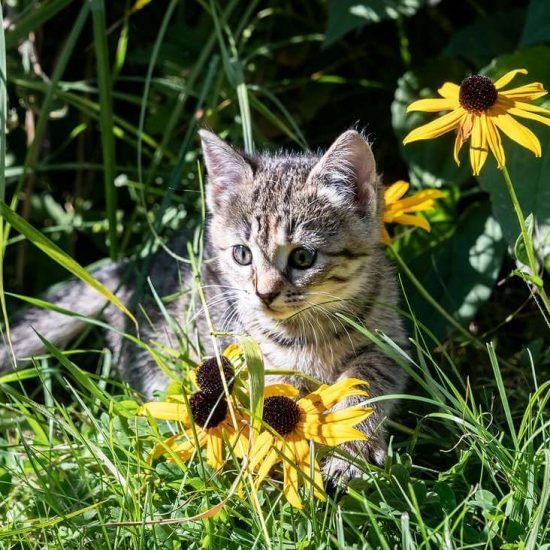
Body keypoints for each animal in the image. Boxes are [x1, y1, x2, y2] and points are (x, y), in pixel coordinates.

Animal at [1, 129, 410, 484]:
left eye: (303, 257)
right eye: (242, 254)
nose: (264, 294)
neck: (308, 331)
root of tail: (131, 267)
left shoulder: (388, 342)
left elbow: (365, 388)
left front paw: (352, 453)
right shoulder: (252, 357)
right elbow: (276, 395)